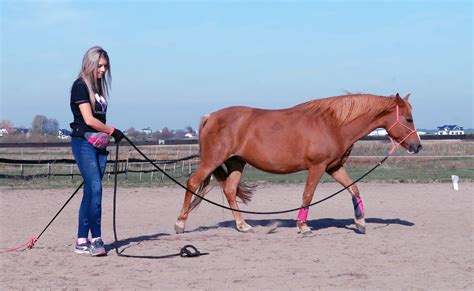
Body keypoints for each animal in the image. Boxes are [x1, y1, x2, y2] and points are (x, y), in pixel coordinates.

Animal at [174, 93, 422, 235]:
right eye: (408, 118)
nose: (417, 146)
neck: (334, 124)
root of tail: (211, 116)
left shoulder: (334, 167)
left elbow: (354, 188)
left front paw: (360, 223)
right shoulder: (317, 167)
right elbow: (308, 195)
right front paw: (303, 226)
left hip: (237, 163)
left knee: (230, 190)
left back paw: (243, 225)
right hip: (212, 160)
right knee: (193, 183)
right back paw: (180, 224)